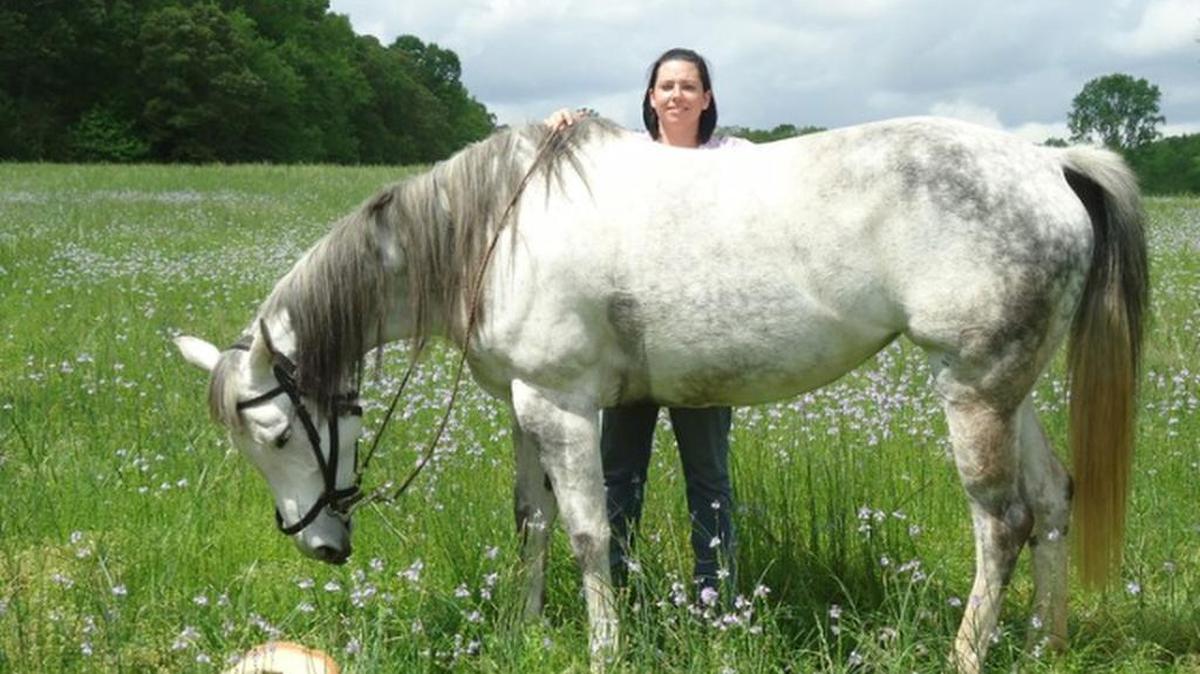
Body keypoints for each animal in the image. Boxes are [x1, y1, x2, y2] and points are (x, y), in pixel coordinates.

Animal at [175, 115, 1147, 673]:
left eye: (275, 437)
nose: (321, 547)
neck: (492, 229)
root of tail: (1051, 166)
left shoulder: (563, 405)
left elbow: (588, 530)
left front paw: (604, 650)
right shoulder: (523, 407)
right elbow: (531, 522)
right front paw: (527, 629)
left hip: (972, 390)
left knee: (1002, 522)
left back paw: (967, 655)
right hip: (1009, 388)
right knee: (1052, 498)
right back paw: (1046, 643)